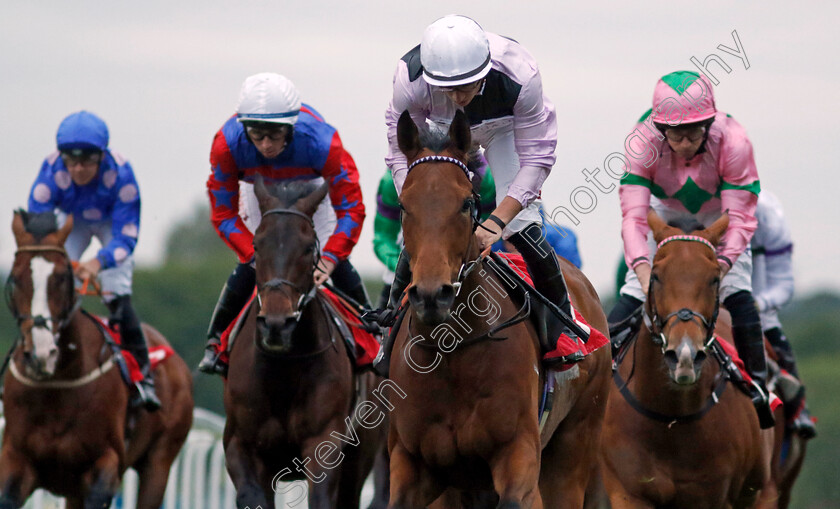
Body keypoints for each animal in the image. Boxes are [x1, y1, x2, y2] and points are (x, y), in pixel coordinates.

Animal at [1, 208, 194, 506]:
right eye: (15, 278)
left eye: (62, 277)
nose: (41, 354)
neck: (57, 384)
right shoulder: (16, 461)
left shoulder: (103, 467)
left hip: (160, 461)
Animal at [221, 178, 388, 508]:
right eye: (256, 245)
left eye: (309, 247)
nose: (277, 324)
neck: (283, 370)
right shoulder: (239, 444)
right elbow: (251, 495)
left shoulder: (325, 441)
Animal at [386, 109, 612, 506]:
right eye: (403, 206)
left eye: (465, 203)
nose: (432, 295)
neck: (453, 351)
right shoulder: (411, 462)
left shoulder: (518, 454)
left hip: (575, 447)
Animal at [600, 209, 776, 508]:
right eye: (656, 276)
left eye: (714, 278)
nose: (684, 355)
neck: (671, 416)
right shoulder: (628, 493)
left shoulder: (713, 496)